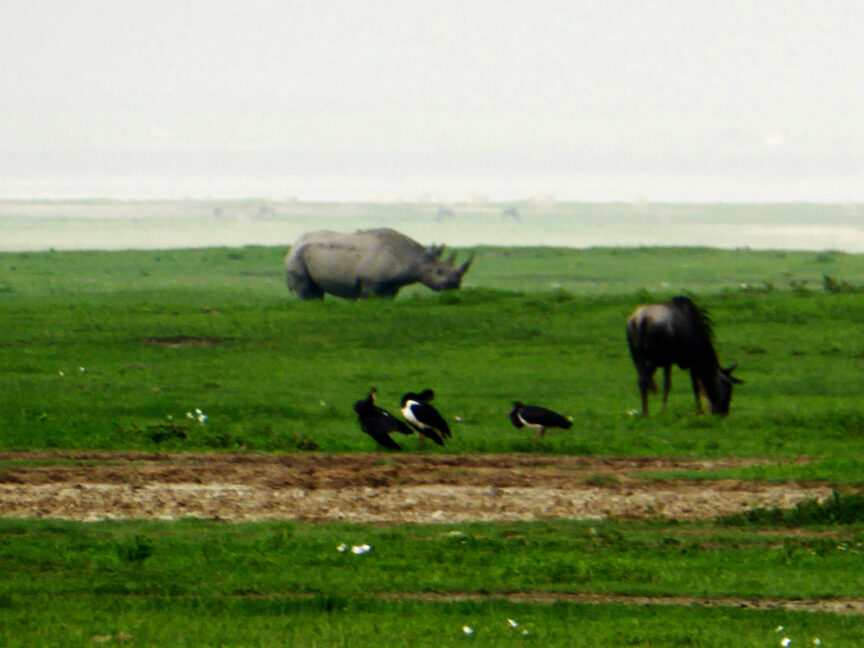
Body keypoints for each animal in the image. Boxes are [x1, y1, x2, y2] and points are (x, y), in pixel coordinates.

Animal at [285, 228, 473, 300]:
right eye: (438, 272)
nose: (455, 284)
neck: (414, 258)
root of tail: (294, 243)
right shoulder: (371, 281)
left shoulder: (391, 284)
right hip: (297, 257)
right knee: (306, 288)